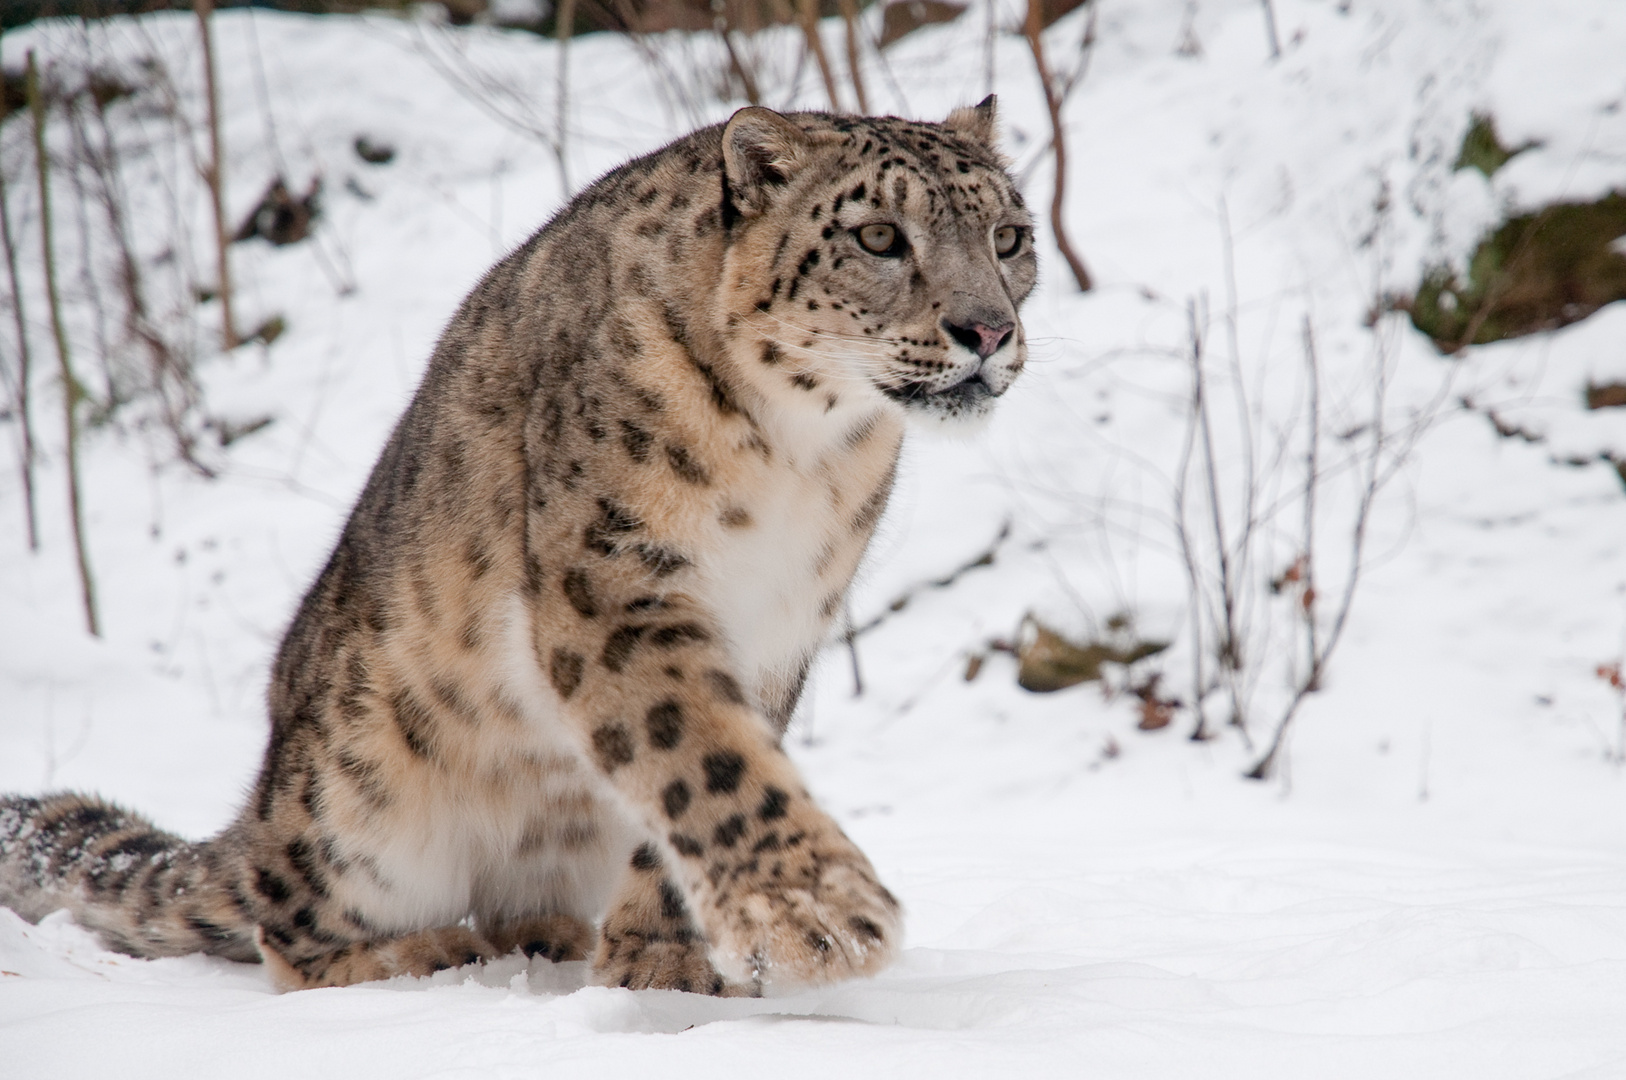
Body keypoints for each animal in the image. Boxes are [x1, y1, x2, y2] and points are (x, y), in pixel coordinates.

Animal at [0, 99, 1034, 995]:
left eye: (1009, 237)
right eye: (878, 238)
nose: (988, 329)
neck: (803, 454)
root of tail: (260, 800)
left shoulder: (777, 626)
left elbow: (696, 766)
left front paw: (668, 959)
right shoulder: (614, 580)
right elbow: (697, 745)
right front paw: (819, 915)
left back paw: (549, 938)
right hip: (358, 801)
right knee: (286, 928)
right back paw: (420, 955)